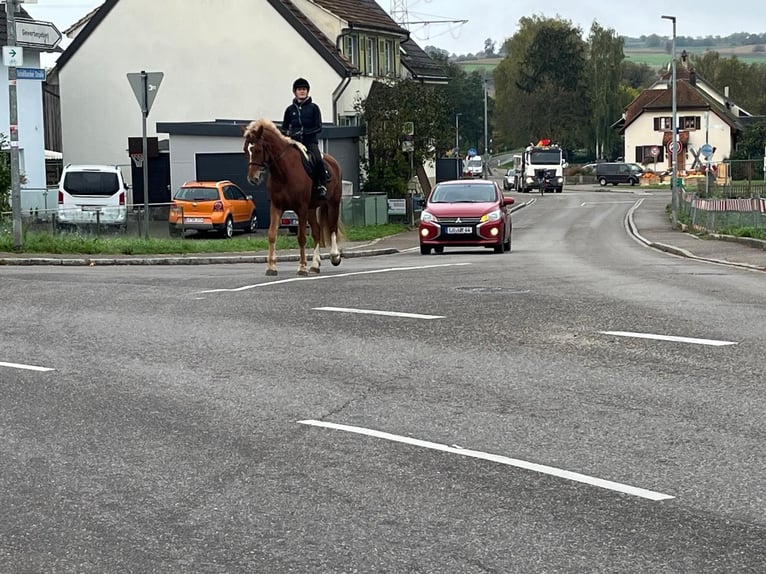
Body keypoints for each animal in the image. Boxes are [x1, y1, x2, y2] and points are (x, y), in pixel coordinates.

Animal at [243, 119, 344, 276]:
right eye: (245, 150)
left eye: (258, 150)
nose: (253, 178)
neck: (284, 172)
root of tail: (333, 161)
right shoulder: (276, 206)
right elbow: (272, 234)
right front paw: (271, 267)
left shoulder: (301, 208)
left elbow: (301, 237)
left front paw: (302, 267)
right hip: (311, 209)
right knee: (316, 232)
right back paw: (315, 265)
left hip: (333, 204)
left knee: (332, 228)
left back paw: (334, 256)